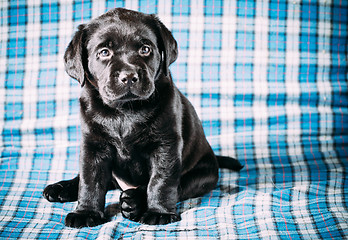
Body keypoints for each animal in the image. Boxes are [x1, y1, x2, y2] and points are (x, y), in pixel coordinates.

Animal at [42, 7, 242, 228]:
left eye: (145, 49)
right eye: (104, 52)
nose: (129, 76)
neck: (125, 111)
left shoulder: (166, 144)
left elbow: (161, 181)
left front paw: (159, 212)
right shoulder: (93, 145)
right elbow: (90, 180)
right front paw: (86, 212)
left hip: (202, 175)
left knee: (179, 186)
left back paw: (134, 201)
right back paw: (61, 188)